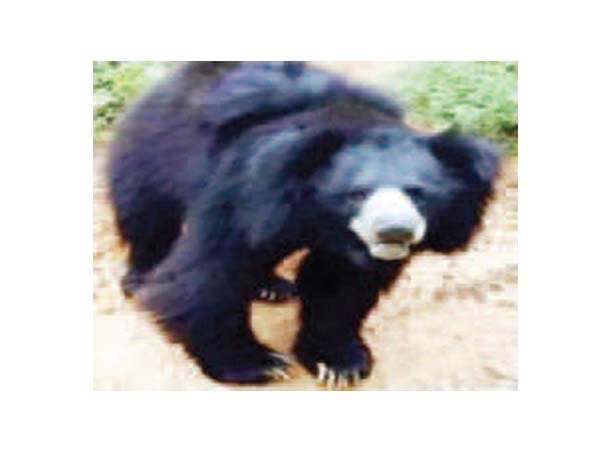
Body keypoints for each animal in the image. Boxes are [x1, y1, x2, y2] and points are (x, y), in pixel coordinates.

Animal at [108, 61, 500, 388]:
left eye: (418, 194)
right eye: (358, 193)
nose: (393, 232)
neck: (318, 215)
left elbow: (341, 286)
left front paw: (340, 364)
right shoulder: (245, 192)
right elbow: (210, 273)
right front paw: (259, 364)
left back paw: (271, 287)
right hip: (154, 150)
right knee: (148, 216)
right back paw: (139, 279)